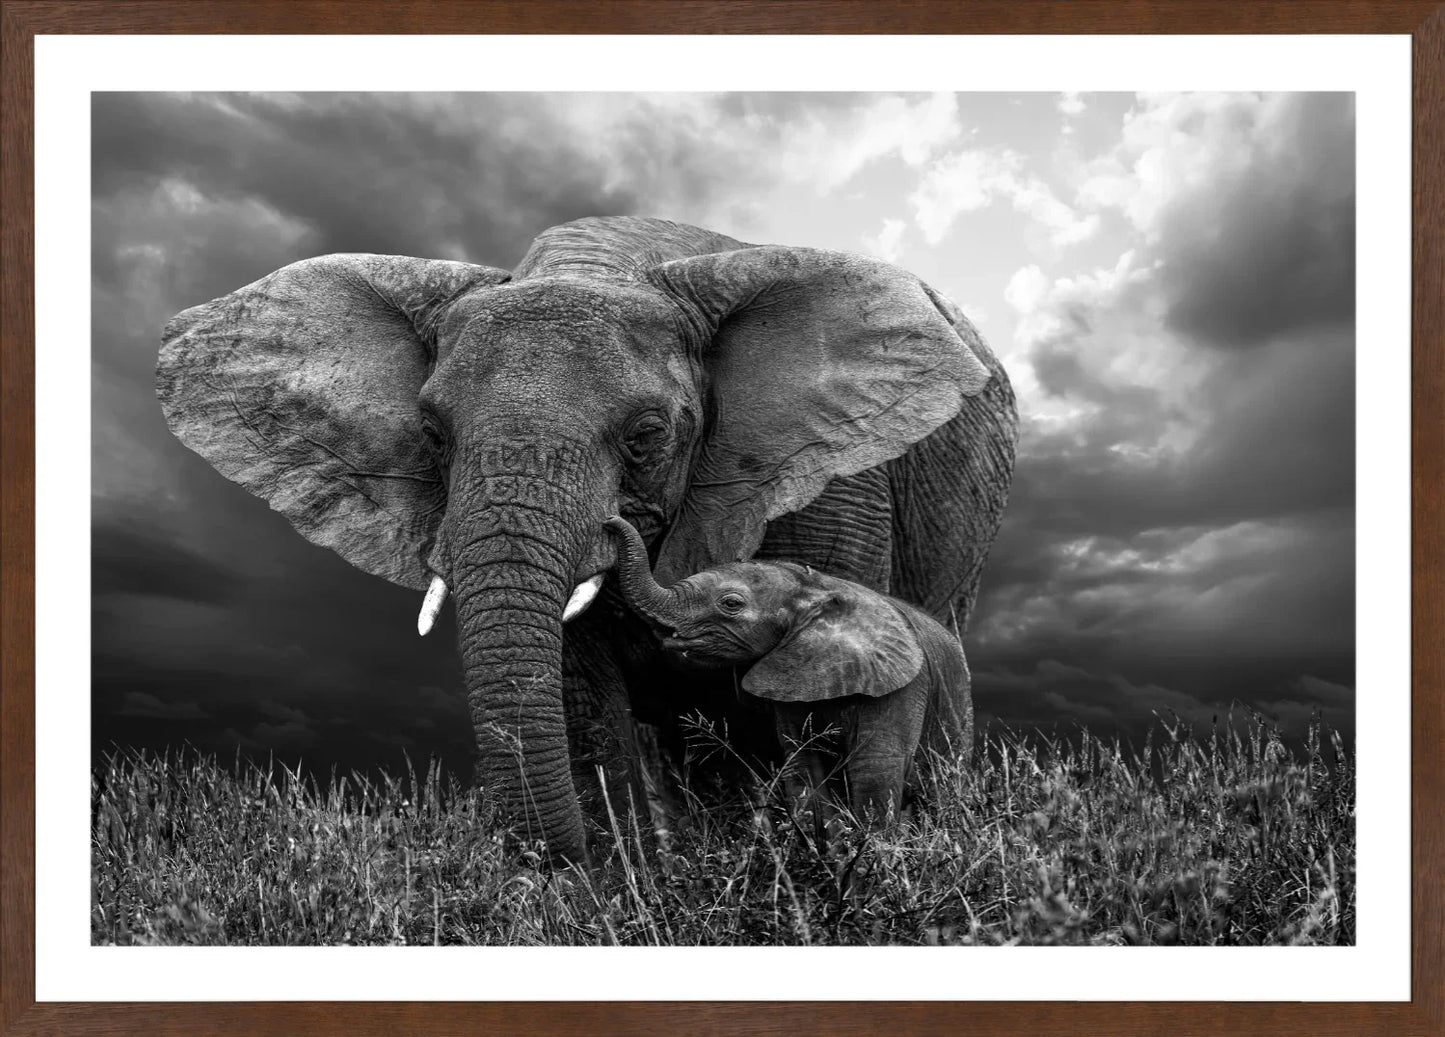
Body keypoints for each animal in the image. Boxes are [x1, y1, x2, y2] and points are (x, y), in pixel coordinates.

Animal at [606, 516, 971, 829]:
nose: (610, 521)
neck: (815, 588)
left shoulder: (900, 688)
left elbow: (875, 770)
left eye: (731, 604)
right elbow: (804, 769)